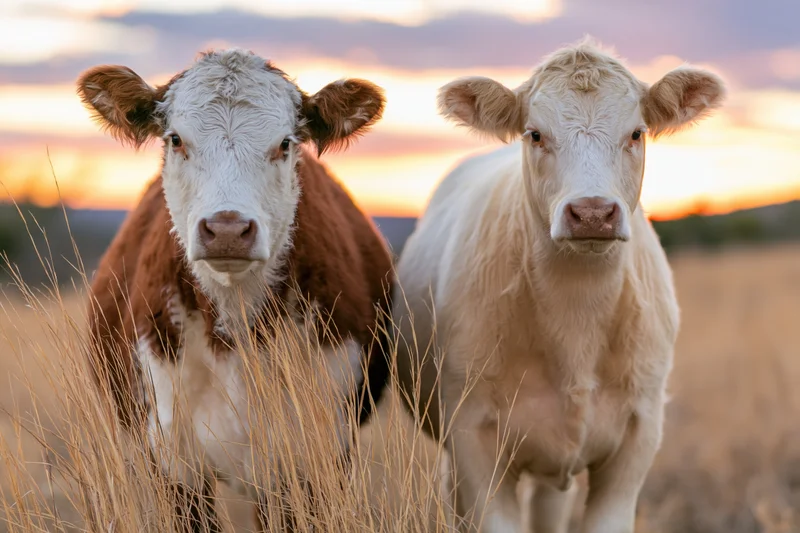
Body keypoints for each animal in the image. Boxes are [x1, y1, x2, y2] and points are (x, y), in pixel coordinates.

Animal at [392, 39, 725, 533]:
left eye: (636, 133)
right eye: (534, 134)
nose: (592, 213)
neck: (576, 316)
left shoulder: (638, 436)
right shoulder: (473, 438)